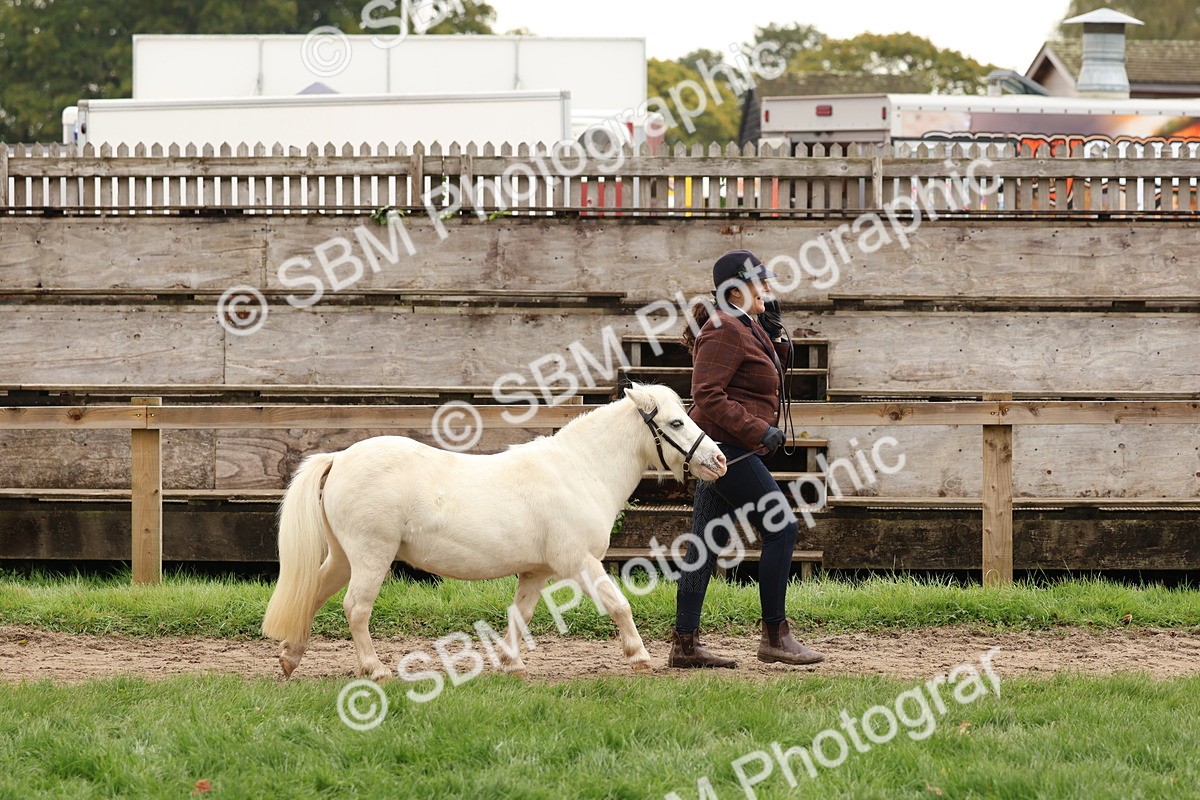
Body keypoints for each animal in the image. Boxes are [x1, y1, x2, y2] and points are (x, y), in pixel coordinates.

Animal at [260, 383, 728, 681]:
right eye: (677, 423)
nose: (719, 460)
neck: (580, 469)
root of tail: (340, 457)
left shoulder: (537, 572)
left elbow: (520, 615)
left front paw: (511, 663)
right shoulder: (579, 562)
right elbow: (619, 605)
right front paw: (640, 657)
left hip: (343, 557)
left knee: (313, 594)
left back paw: (289, 658)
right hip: (371, 555)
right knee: (355, 608)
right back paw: (375, 669)